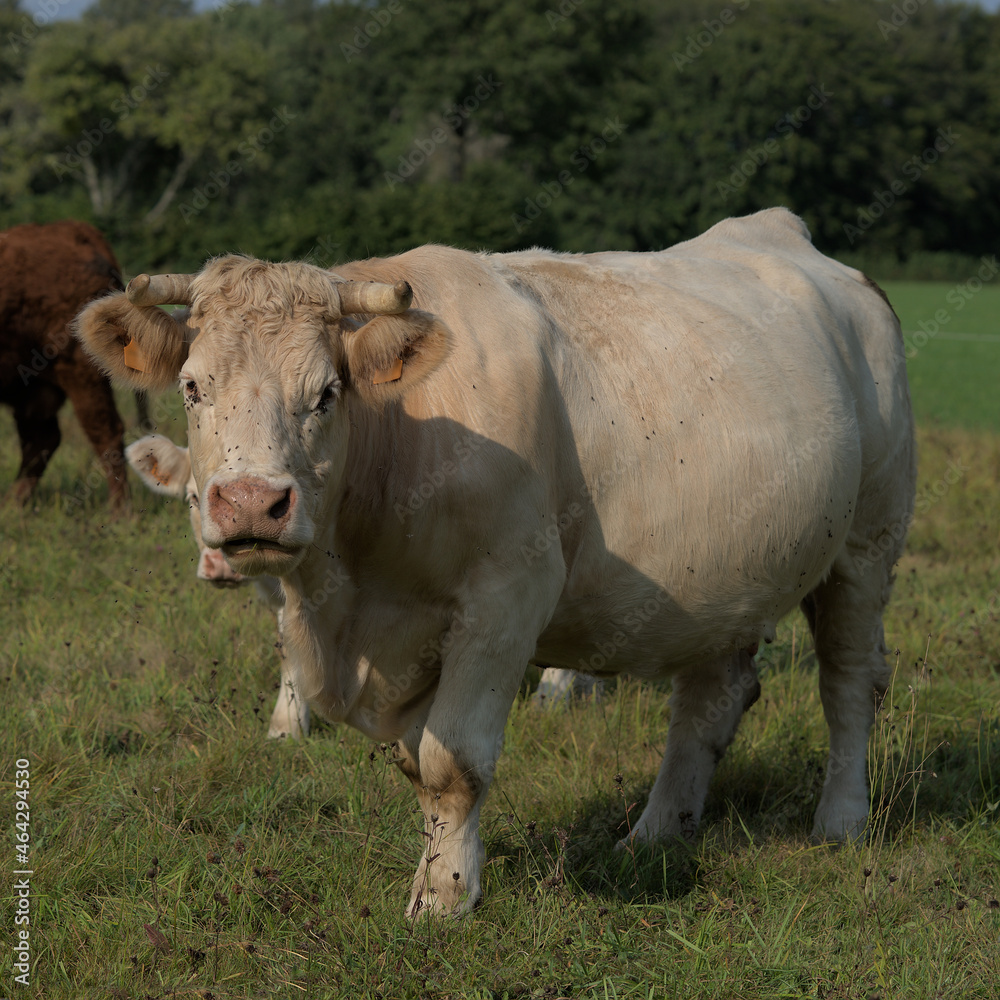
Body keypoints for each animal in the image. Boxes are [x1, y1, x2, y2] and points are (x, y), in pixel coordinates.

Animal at [0, 224, 131, 512]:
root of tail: (72, 230)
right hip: (32, 387)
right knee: (41, 439)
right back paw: (12, 504)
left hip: (82, 374)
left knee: (107, 432)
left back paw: (119, 512)